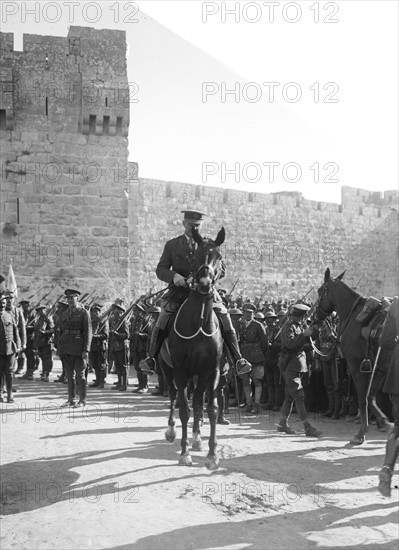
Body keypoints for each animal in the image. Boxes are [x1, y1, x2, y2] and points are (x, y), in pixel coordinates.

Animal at [160, 227, 227, 470]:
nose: (205, 282)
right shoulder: (181, 371)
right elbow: (184, 409)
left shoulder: (212, 371)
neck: (199, 322)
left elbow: (211, 408)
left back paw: (197, 438)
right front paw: (184, 452)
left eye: (219, 257)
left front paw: (212, 454)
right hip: (167, 370)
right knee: (173, 396)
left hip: (199, 375)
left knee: (198, 400)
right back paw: (171, 431)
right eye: (195, 256)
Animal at [318, 270, 392, 446]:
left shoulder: (356, 366)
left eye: (319, 291)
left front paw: (361, 432)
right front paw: (383, 422)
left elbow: (362, 397)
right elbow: (370, 397)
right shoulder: (378, 368)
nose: (315, 315)